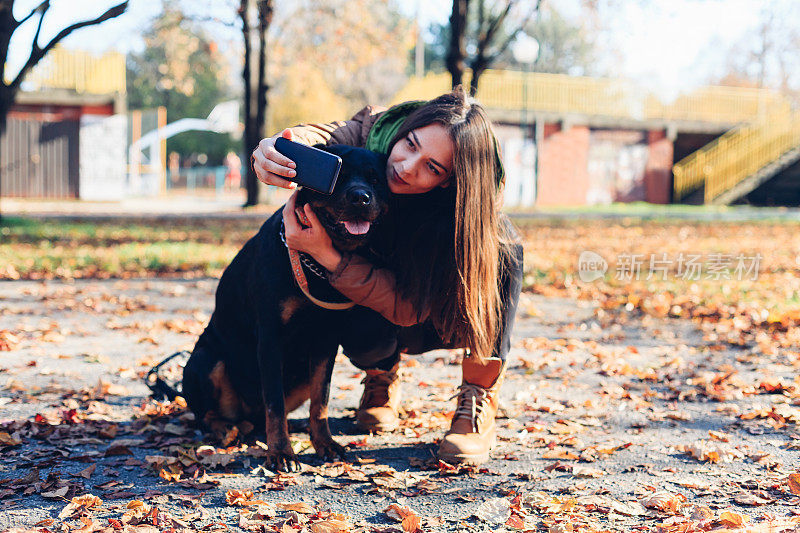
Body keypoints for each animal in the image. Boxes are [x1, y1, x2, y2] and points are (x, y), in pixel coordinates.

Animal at [184, 144, 390, 470]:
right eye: (339, 177)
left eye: (375, 179)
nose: (360, 197)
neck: (314, 265)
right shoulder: (270, 339)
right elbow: (274, 403)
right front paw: (281, 452)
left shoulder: (325, 341)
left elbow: (321, 400)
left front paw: (325, 444)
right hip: (203, 361)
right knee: (207, 414)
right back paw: (225, 428)